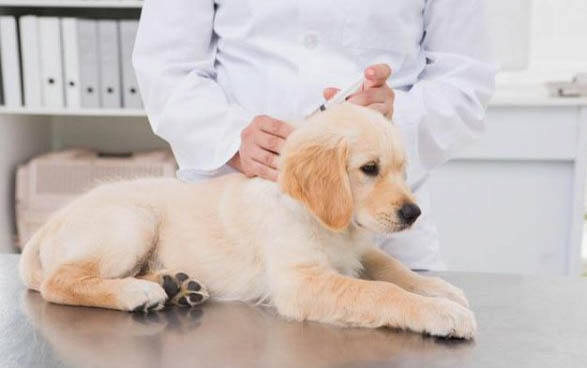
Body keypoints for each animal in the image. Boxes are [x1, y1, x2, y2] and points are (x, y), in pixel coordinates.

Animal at [19, 103, 478, 340]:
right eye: (369, 169)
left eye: (402, 169)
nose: (413, 213)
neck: (323, 220)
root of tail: (48, 226)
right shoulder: (300, 281)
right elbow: (380, 292)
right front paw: (440, 313)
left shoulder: (359, 249)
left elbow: (393, 268)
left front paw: (440, 290)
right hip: (132, 221)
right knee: (61, 280)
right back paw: (137, 291)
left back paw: (174, 285)